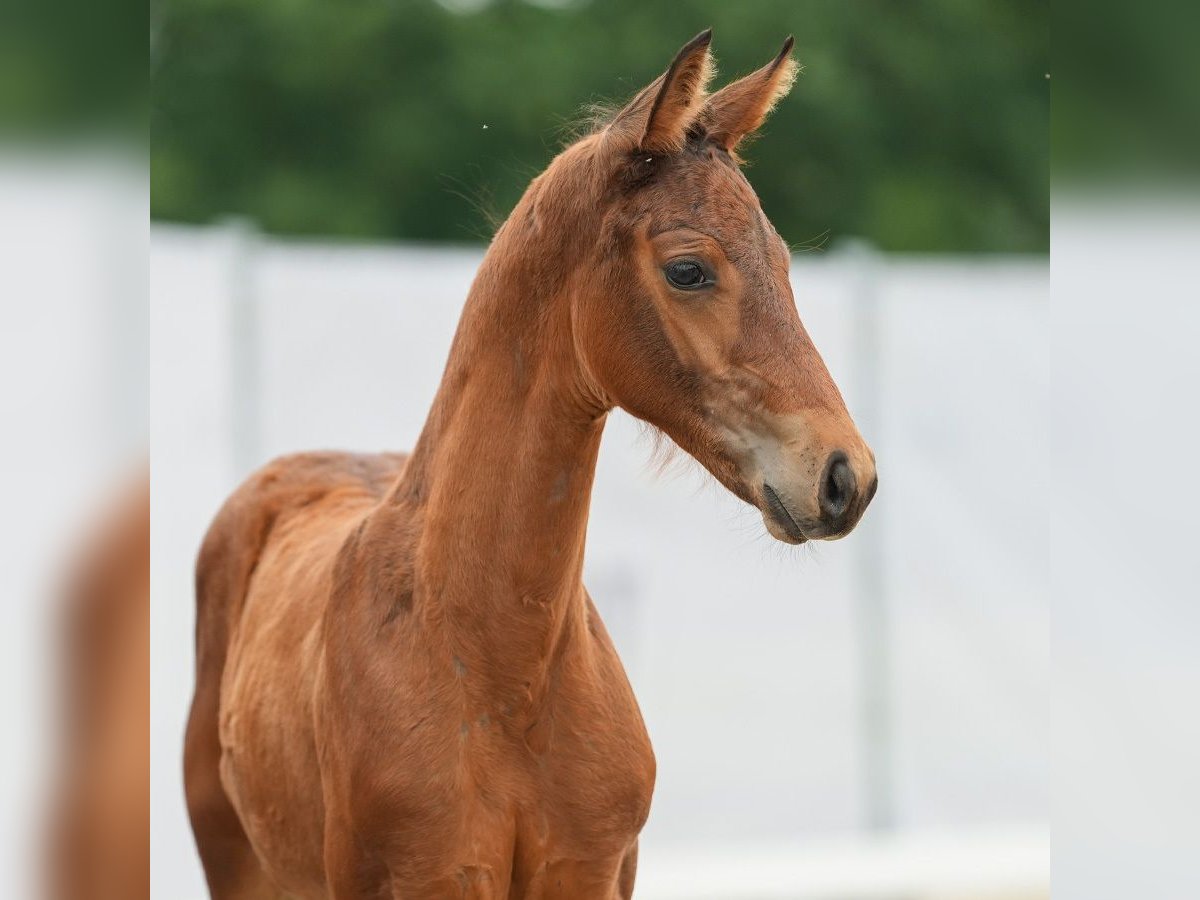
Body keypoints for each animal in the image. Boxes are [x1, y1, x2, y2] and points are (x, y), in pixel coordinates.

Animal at [187, 30, 878, 900]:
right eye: (688, 269)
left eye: (783, 262)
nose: (846, 476)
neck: (501, 676)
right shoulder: (428, 876)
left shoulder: (591, 870)